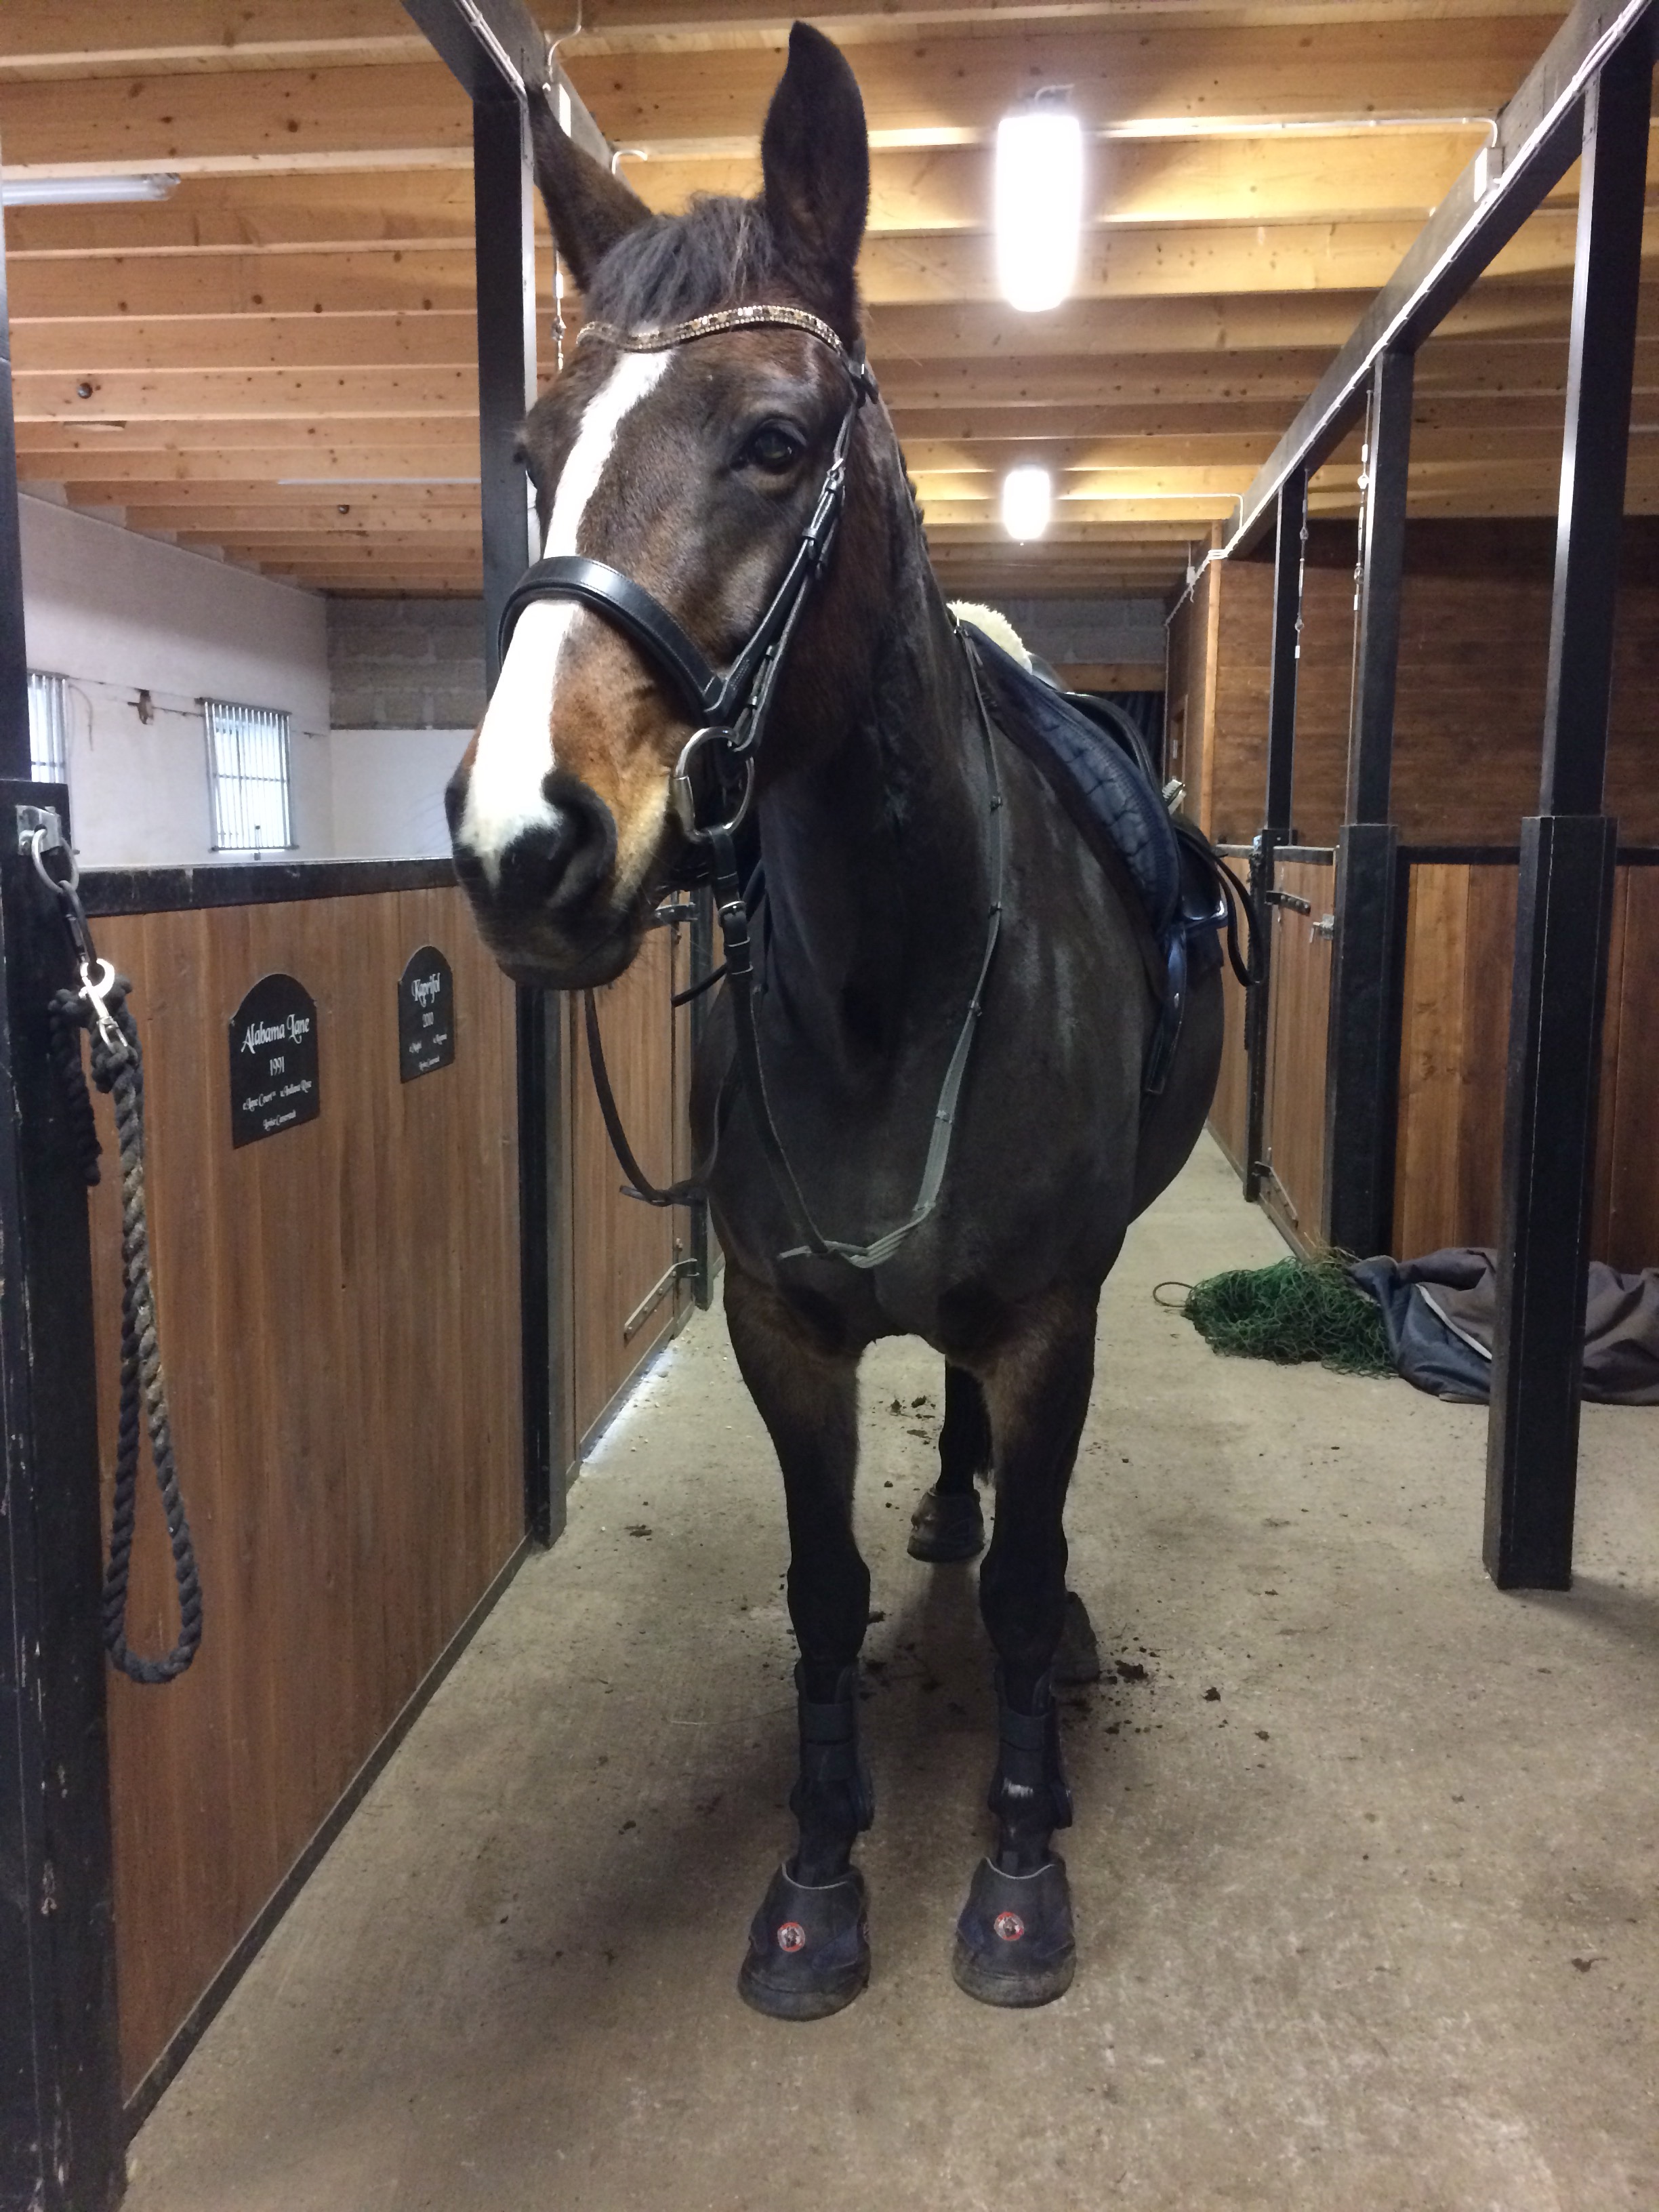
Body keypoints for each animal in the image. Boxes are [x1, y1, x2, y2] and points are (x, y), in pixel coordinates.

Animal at [446, 21, 1223, 2015]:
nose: (521, 844)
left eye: (777, 441)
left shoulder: (1046, 1316)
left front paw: (1017, 1871)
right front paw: (813, 1876)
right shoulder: (784, 1330)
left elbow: (1019, 1589)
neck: (893, 988)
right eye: (536, 453)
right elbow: (818, 1595)